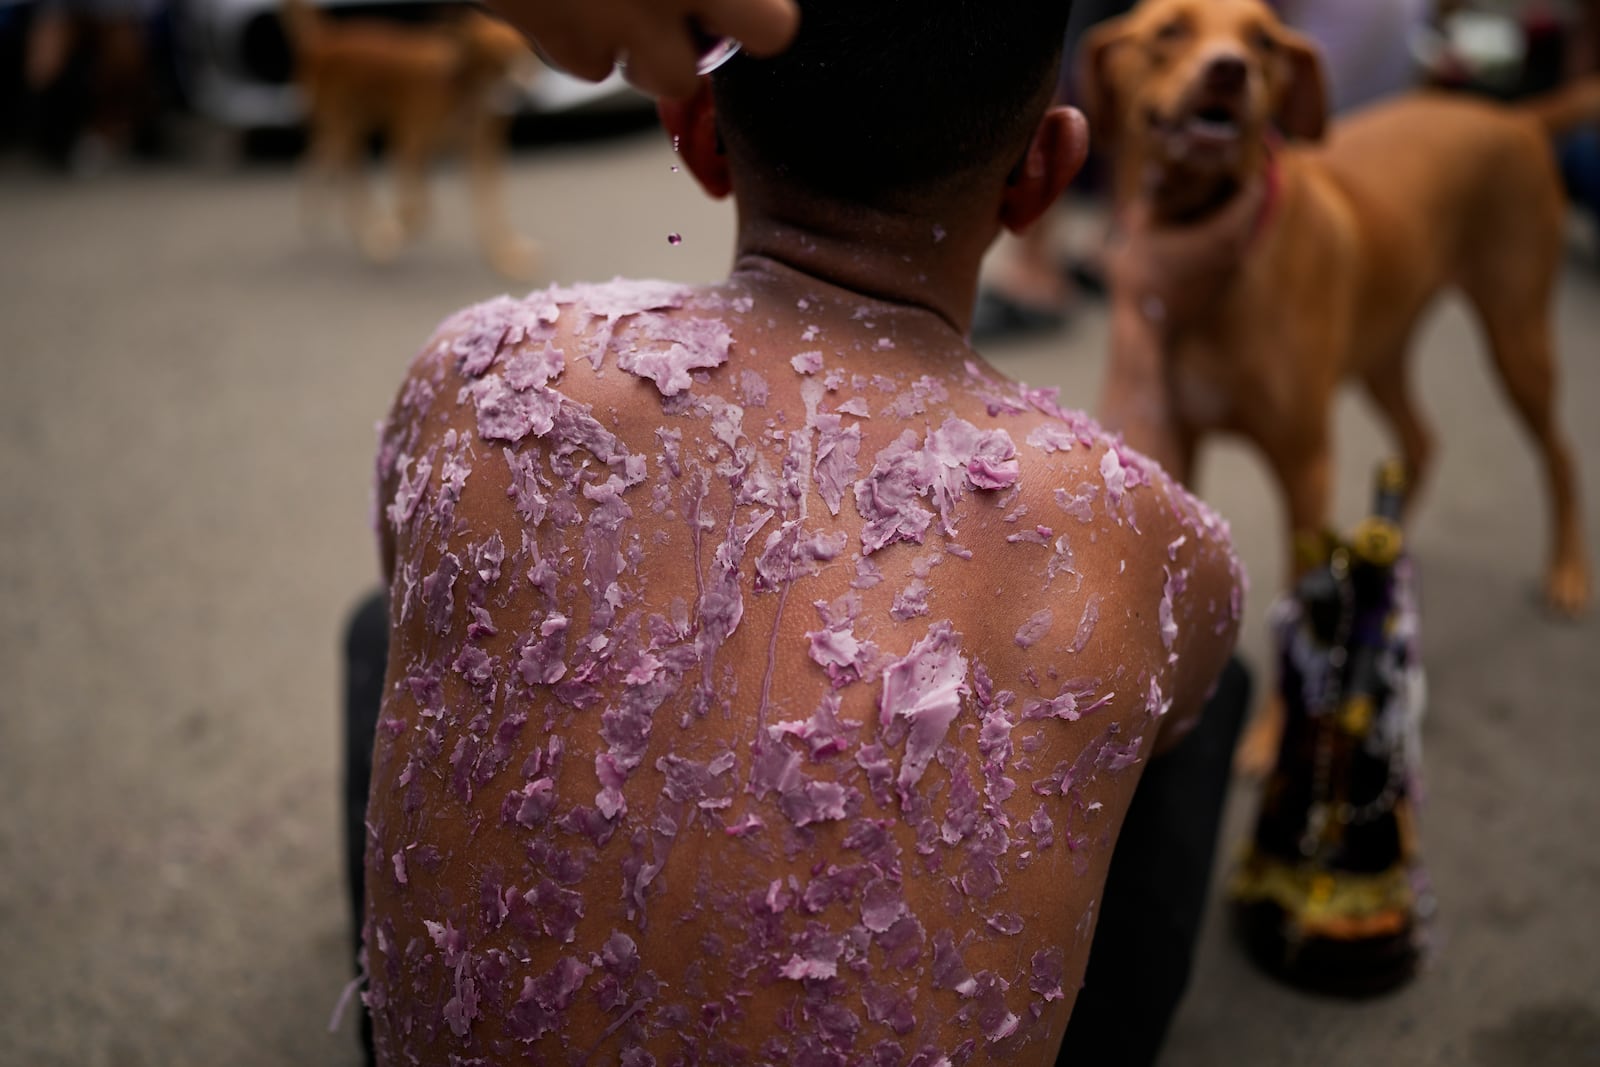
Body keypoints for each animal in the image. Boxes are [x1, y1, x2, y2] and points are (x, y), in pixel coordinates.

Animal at [284, 0, 540, 279]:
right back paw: (368, 229)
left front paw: (505, 255)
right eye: (497, 62)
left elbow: (491, 210)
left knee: (319, 155)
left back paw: (323, 217)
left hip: (343, 129)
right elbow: (418, 212)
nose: (523, 97)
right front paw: (389, 236)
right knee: (350, 178)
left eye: (529, 59)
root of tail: (325, 37)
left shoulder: (481, 155)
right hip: (346, 127)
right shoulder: (410, 146)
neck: (464, 91)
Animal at [1081, 0, 1593, 771]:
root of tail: (1512, 117)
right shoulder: (1180, 445)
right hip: (1381, 346)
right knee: (1421, 439)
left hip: (1517, 337)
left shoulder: (1305, 465)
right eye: (1169, 30)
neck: (1214, 256)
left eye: (1263, 40)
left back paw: (1565, 572)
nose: (1229, 70)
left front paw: (1271, 735)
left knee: (1559, 455)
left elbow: (1297, 605)